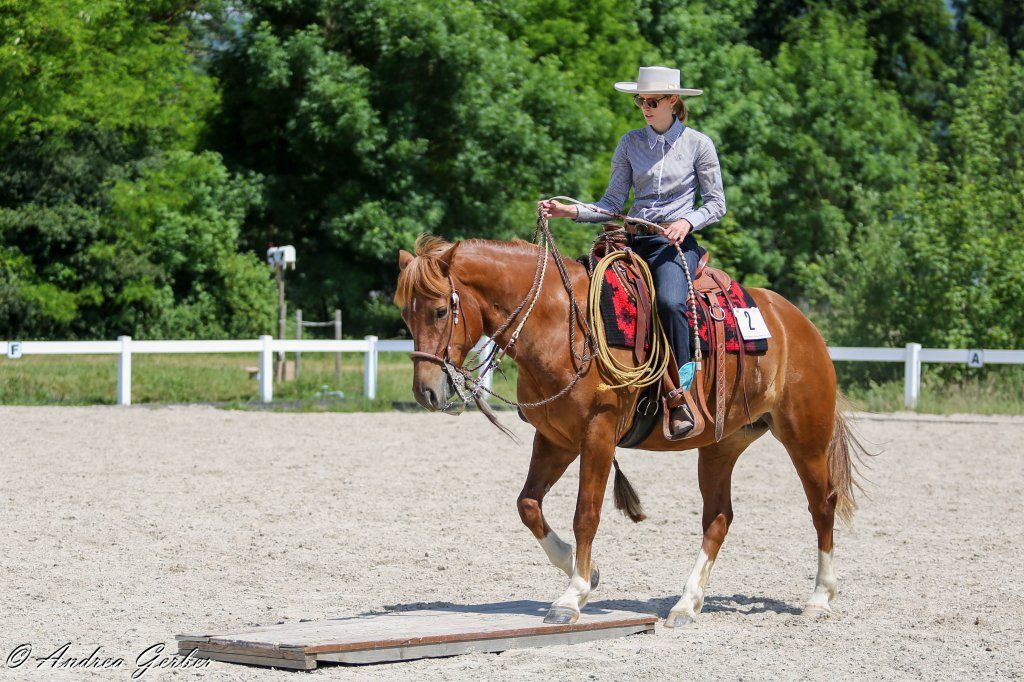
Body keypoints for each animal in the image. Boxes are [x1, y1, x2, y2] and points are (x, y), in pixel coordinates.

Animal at [395, 233, 868, 627]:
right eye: (405, 314)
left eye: (440, 310)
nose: (426, 392)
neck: (561, 324)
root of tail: (798, 323)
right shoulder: (555, 439)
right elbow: (528, 505)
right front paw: (585, 572)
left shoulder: (598, 435)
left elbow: (586, 514)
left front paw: (572, 596)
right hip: (721, 446)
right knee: (718, 518)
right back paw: (686, 604)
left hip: (805, 437)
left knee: (822, 505)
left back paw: (819, 598)